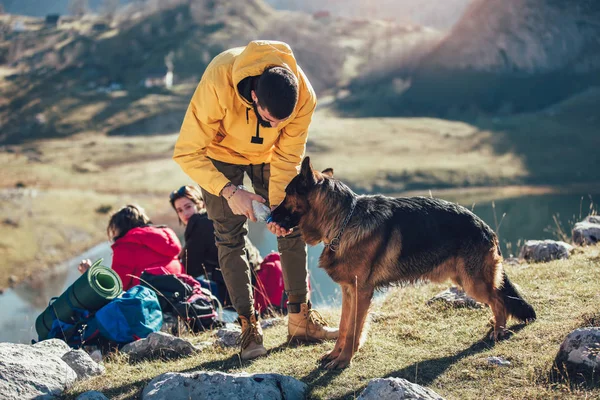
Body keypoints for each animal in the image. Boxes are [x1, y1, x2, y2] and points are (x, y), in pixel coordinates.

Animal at [270, 156, 536, 368]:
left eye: (286, 194)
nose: (269, 215)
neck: (343, 221)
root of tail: (486, 227)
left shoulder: (362, 292)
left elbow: (354, 329)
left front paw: (344, 360)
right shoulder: (348, 291)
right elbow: (344, 327)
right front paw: (335, 355)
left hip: (473, 282)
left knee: (499, 300)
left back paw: (498, 331)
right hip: (465, 279)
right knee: (498, 299)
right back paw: (495, 326)